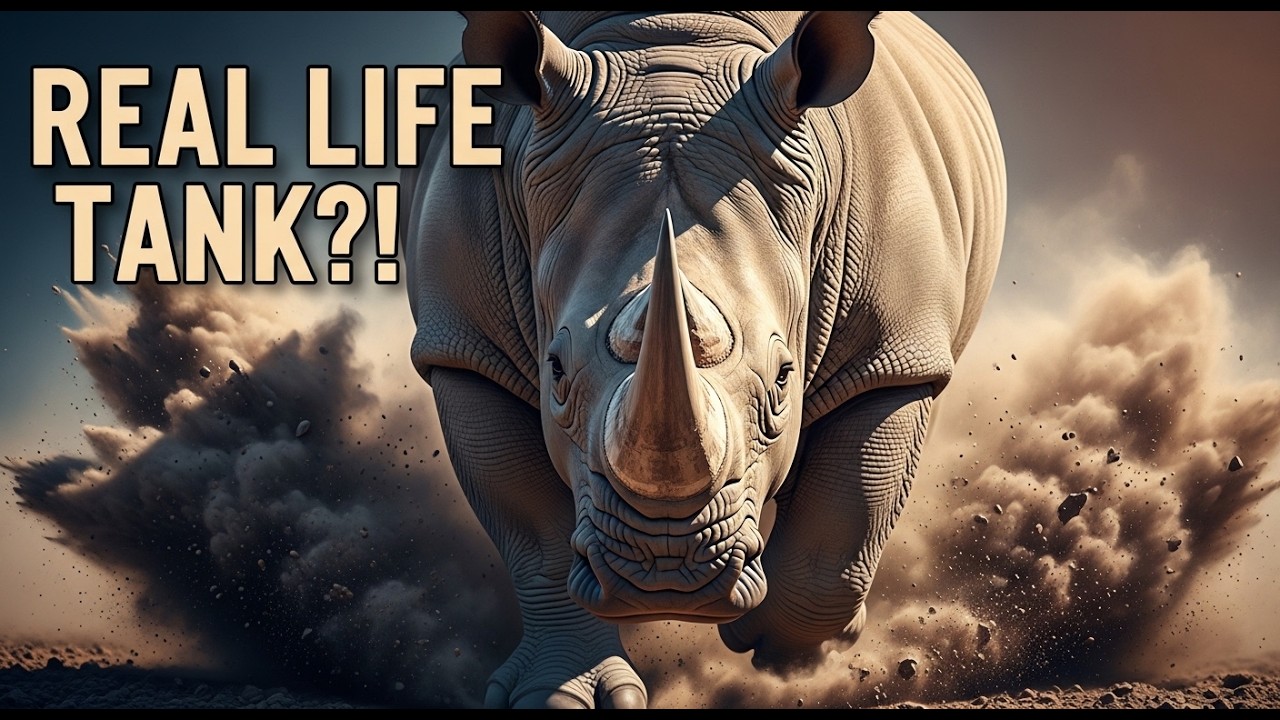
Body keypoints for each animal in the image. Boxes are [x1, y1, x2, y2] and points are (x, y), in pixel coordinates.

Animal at [401, 10, 1004, 708]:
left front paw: (784, 655)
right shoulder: (465, 346)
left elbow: (848, 513)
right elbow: (535, 533)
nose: (667, 577)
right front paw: (560, 696)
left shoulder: (895, 355)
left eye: (783, 379)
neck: (677, 40)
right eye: (555, 373)